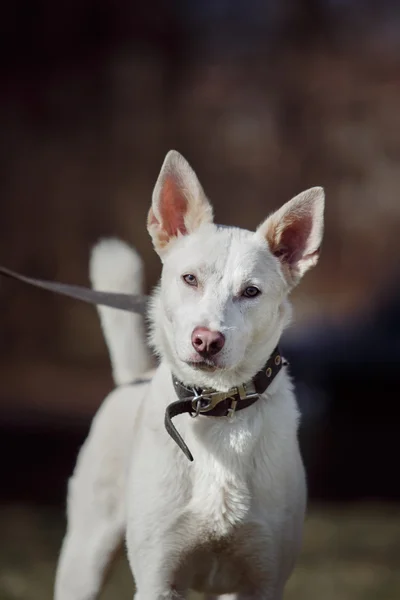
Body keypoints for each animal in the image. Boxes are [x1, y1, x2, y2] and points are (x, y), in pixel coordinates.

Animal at [53, 151, 324, 600]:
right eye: (190, 279)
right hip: (85, 555)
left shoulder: (262, 580)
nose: (207, 341)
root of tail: (133, 377)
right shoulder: (157, 579)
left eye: (251, 292)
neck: (218, 408)